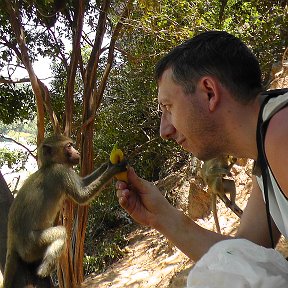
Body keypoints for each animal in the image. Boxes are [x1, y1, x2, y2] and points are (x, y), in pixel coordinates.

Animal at [3, 135, 127, 288]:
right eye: (69, 146)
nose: (78, 152)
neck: (49, 165)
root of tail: (12, 239)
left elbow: (83, 183)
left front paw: (107, 164)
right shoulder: (61, 172)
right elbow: (82, 196)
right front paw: (113, 170)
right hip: (31, 246)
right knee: (61, 232)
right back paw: (42, 272)